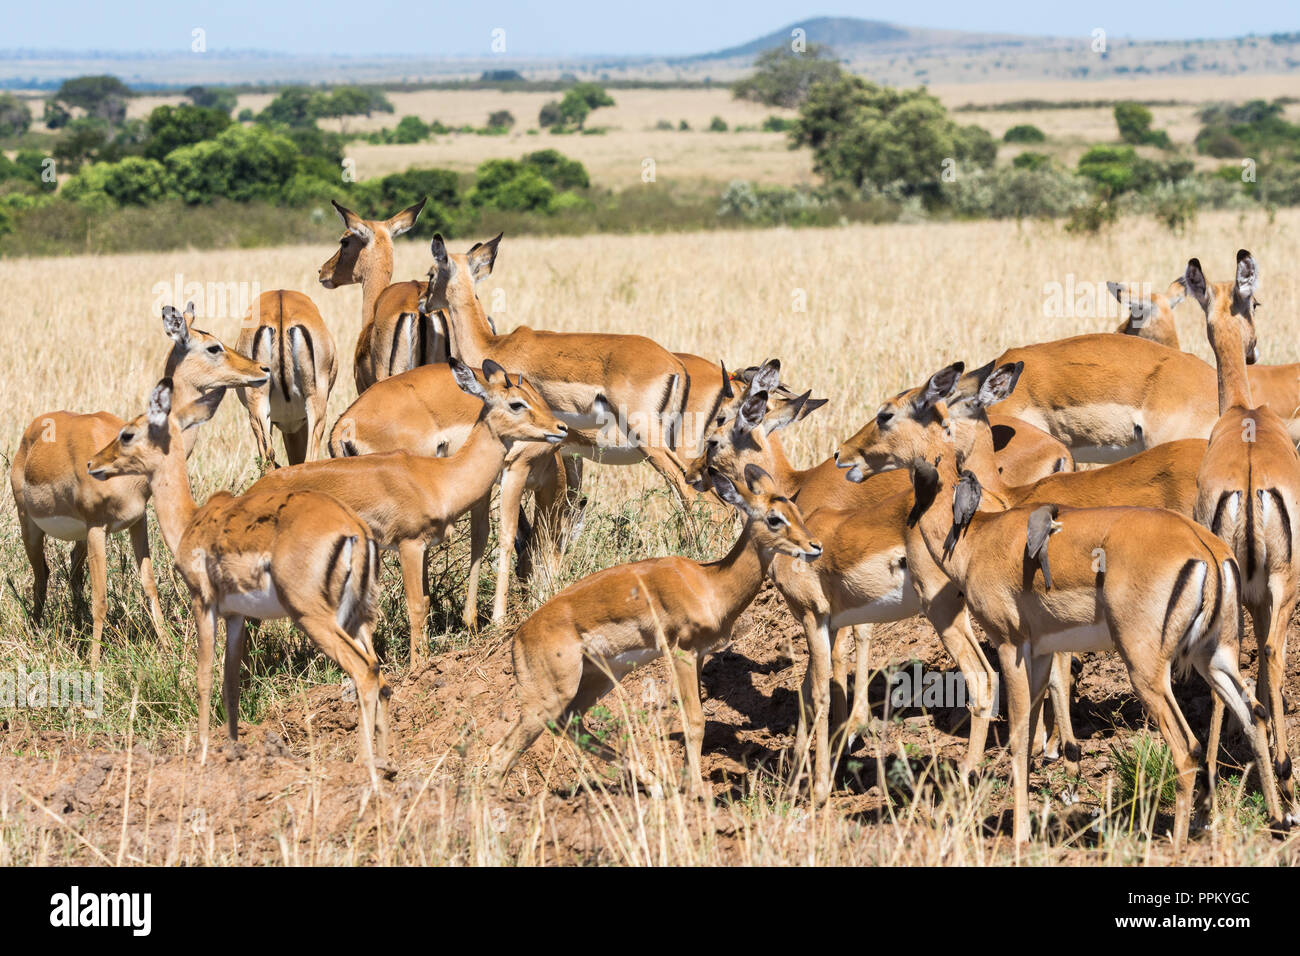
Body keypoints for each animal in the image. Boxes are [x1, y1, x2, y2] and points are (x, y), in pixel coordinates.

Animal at [10, 304, 269, 667]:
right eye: (213, 347)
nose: (263, 369)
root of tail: (31, 433)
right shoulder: (98, 526)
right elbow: (101, 597)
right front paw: (94, 664)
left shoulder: (136, 520)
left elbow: (148, 584)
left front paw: (169, 648)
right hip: (30, 524)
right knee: (42, 574)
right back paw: (37, 630)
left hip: (79, 536)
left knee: (73, 575)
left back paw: (74, 627)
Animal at [86, 380, 391, 785]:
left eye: (127, 433)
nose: (93, 463)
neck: (191, 520)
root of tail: (354, 530)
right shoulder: (236, 616)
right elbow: (231, 681)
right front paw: (232, 749)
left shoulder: (203, 603)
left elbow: (204, 676)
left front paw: (201, 754)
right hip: (356, 619)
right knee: (380, 674)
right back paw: (387, 764)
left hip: (313, 618)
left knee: (364, 671)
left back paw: (363, 765)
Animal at [250, 358, 568, 662]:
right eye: (516, 403)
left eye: (533, 396)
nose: (560, 428)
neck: (437, 478)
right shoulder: (410, 545)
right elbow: (418, 602)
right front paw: (420, 666)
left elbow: (427, 598)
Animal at [490, 465, 823, 791]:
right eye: (774, 518)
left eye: (796, 511)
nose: (815, 546)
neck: (710, 584)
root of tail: (518, 638)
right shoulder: (682, 653)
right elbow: (695, 721)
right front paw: (695, 791)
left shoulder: (699, 655)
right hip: (549, 697)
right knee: (502, 752)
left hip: (599, 679)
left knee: (568, 725)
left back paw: (655, 782)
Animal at [837, 361, 1282, 847]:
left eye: (885, 414)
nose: (845, 456)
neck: (979, 533)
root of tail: (1206, 548)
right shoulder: (1039, 651)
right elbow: (1032, 726)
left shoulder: (1010, 646)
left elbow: (1018, 736)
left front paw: (1021, 830)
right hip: (1214, 656)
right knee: (1254, 716)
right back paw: (1272, 817)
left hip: (1147, 667)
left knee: (1188, 749)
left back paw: (1180, 842)